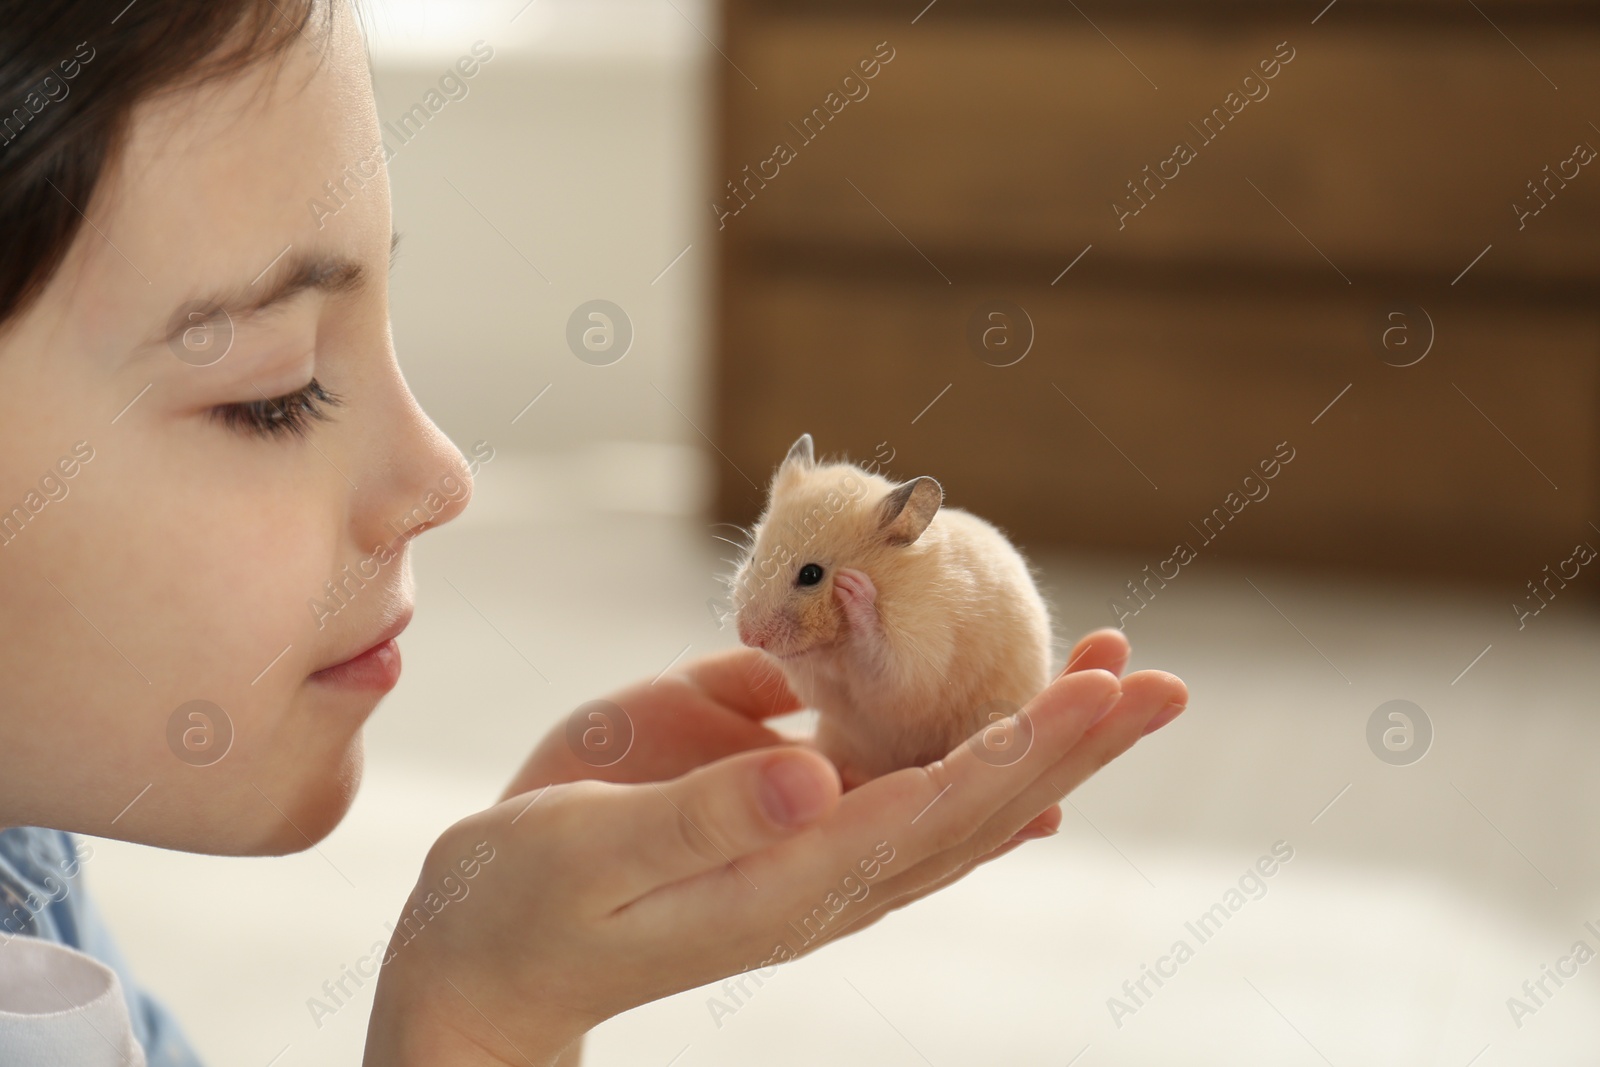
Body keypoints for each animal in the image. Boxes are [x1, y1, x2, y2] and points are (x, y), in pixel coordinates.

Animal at [729, 428, 1056, 790]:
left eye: (811, 575)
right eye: (755, 559)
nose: (749, 638)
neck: (837, 648)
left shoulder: (914, 660)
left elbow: (880, 657)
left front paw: (855, 589)